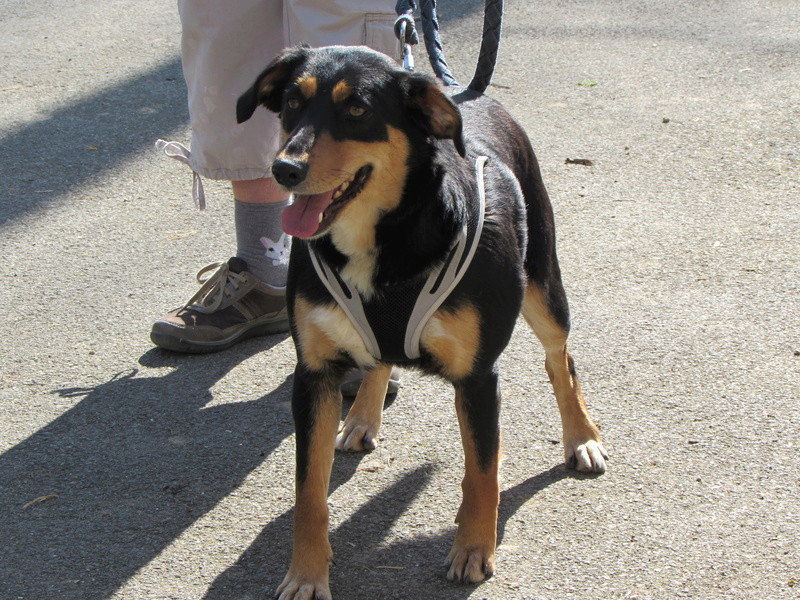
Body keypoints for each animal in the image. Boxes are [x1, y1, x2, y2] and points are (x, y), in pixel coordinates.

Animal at [236, 45, 608, 600]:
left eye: (358, 110)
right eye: (291, 104)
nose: (284, 169)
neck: (382, 240)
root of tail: (465, 91)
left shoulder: (478, 378)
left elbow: (481, 471)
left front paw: (473, 549)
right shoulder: (314, 375)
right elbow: (309, 492)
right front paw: (306, 573)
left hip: (544, 287)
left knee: (560, 360)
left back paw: (581, 437)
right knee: (378, 362)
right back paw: (362, 417)